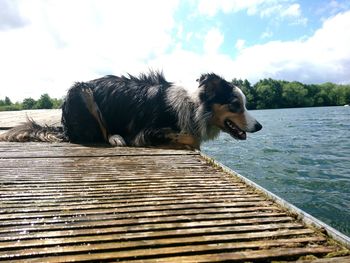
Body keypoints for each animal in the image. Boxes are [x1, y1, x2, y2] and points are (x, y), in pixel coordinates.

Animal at [0, 71, 262, 150]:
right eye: (235, 104)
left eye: (244, 104)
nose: (259, 126)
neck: (194, 106)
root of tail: (63, 127)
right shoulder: (148, 131)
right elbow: (190, 137)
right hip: (82, 91)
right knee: (99, 135)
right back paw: (116, 138)